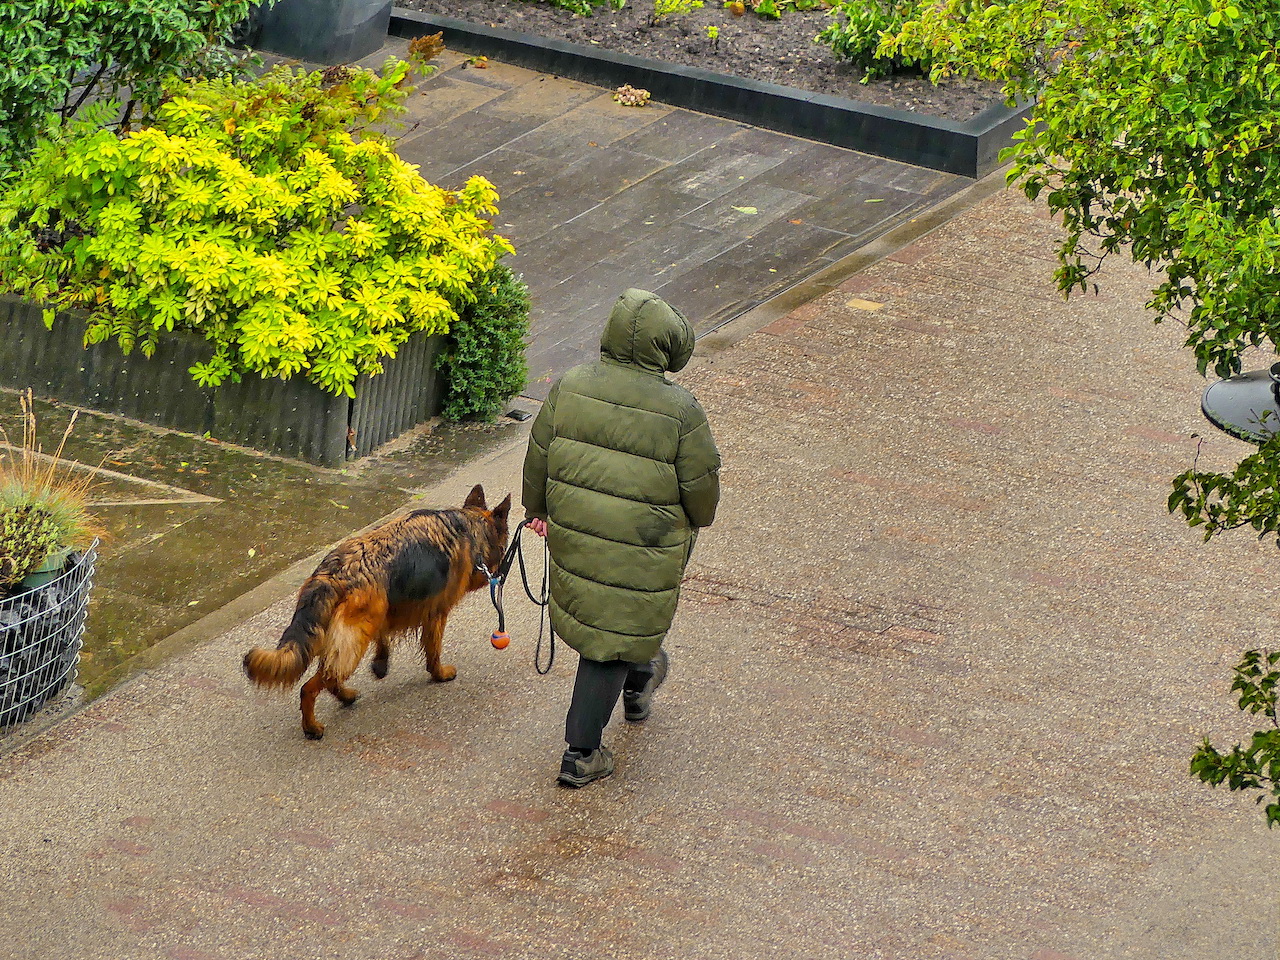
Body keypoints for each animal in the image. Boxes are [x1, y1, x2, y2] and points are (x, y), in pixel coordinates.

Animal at [243, 483, 509, 742]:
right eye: (503, 547)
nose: (499, 574)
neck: (469, 527)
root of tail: (333, 574)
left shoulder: (385, 612)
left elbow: (383, 638)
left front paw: (381, 663)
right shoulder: (436, 614)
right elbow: (433, 650)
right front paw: (439, 674)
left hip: (349, 635)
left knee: (330, 675)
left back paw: (346, 696)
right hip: (353, 646)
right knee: (311, 686)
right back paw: (312, 726)